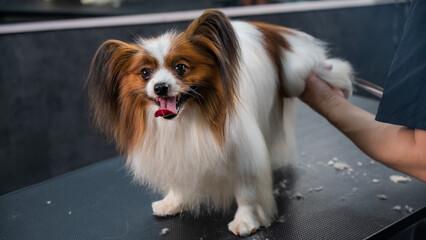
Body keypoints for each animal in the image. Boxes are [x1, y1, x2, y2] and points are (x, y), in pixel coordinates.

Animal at [86, 9, 352, 236]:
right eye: (145, 73)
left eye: (180, 67)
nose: (160, 87)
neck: (187, 118)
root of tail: (273, 30)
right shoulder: (178, 153)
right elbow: (179, 179)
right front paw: (173, 202)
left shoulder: (244, 150)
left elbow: (247, 191)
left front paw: (246, 220)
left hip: (300, 73)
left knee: (334, 71)